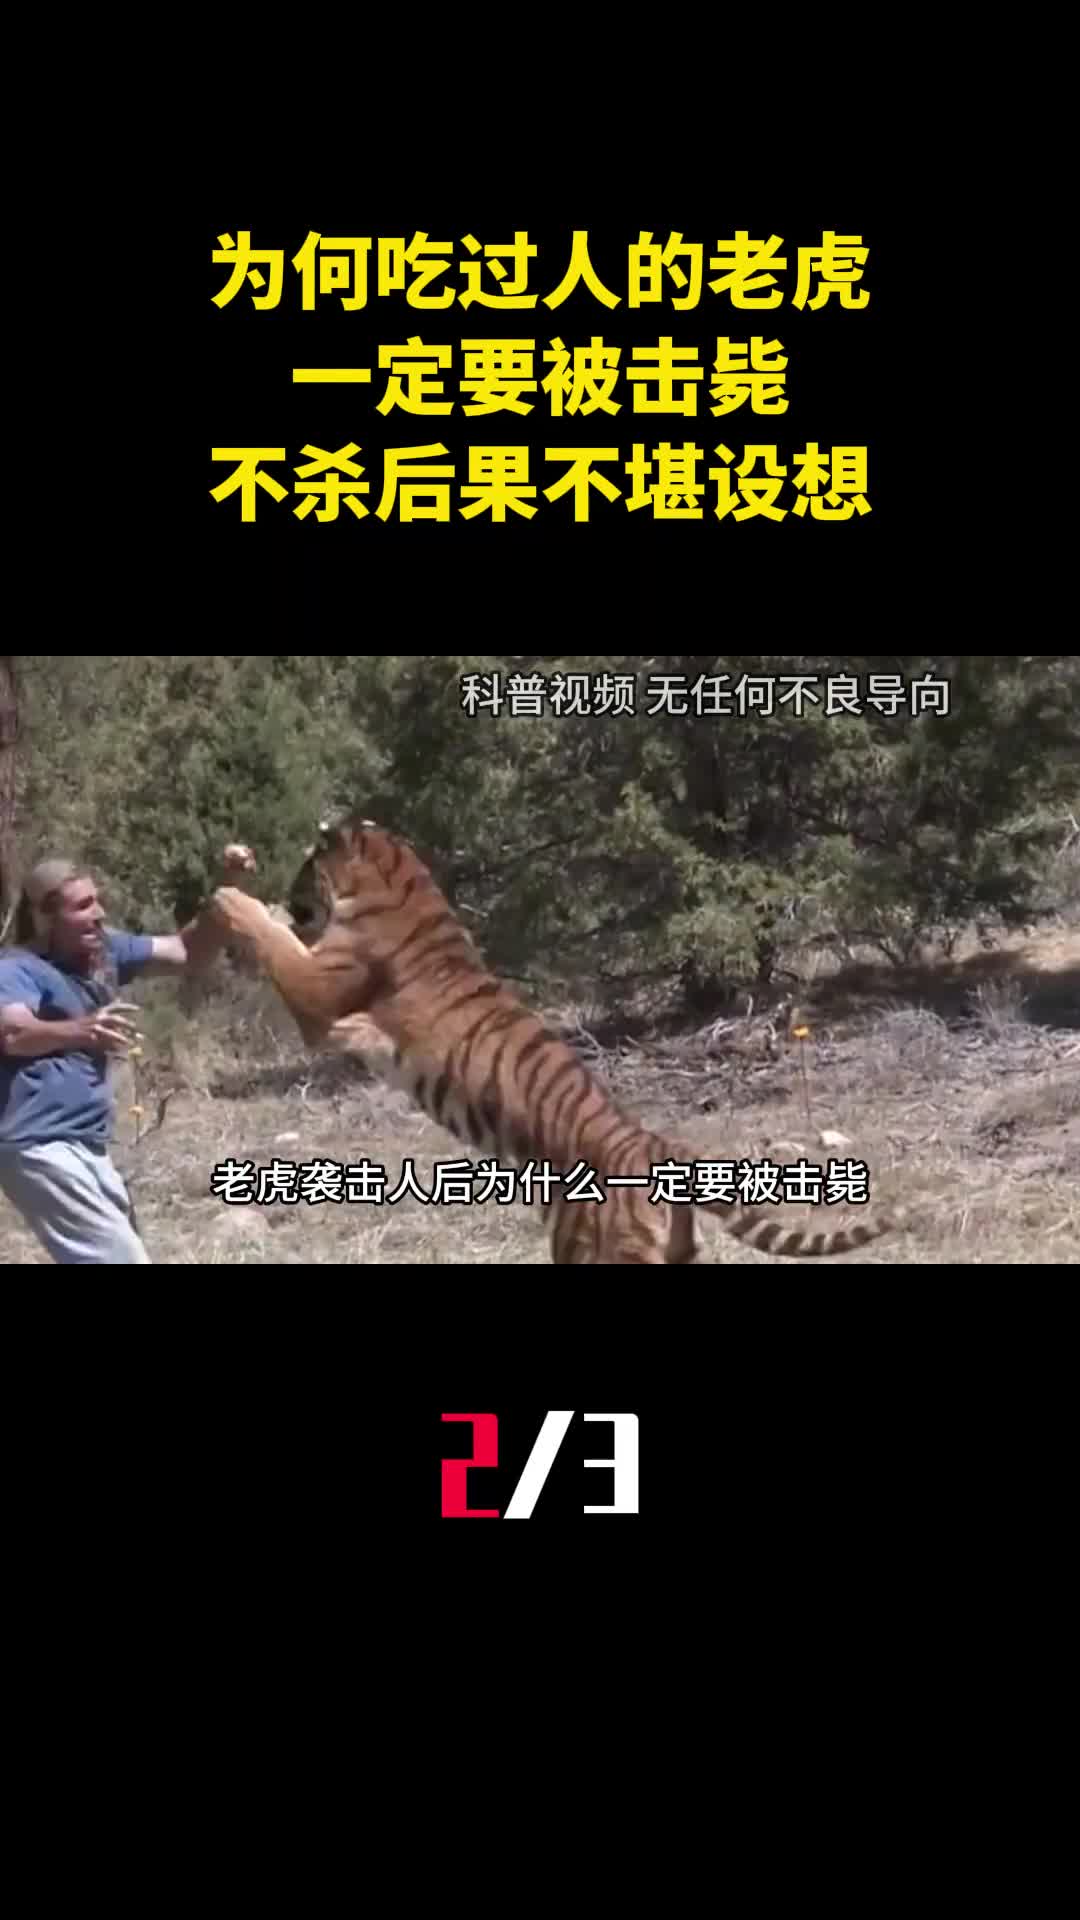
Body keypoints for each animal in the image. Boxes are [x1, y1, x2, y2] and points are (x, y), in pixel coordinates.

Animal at [210, 816, 904, 1264]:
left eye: (308, 866)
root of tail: (656, 1147)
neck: (395, 875)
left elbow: (273, 941)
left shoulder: (317, 998)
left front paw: (232, 900)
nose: (295, 895)